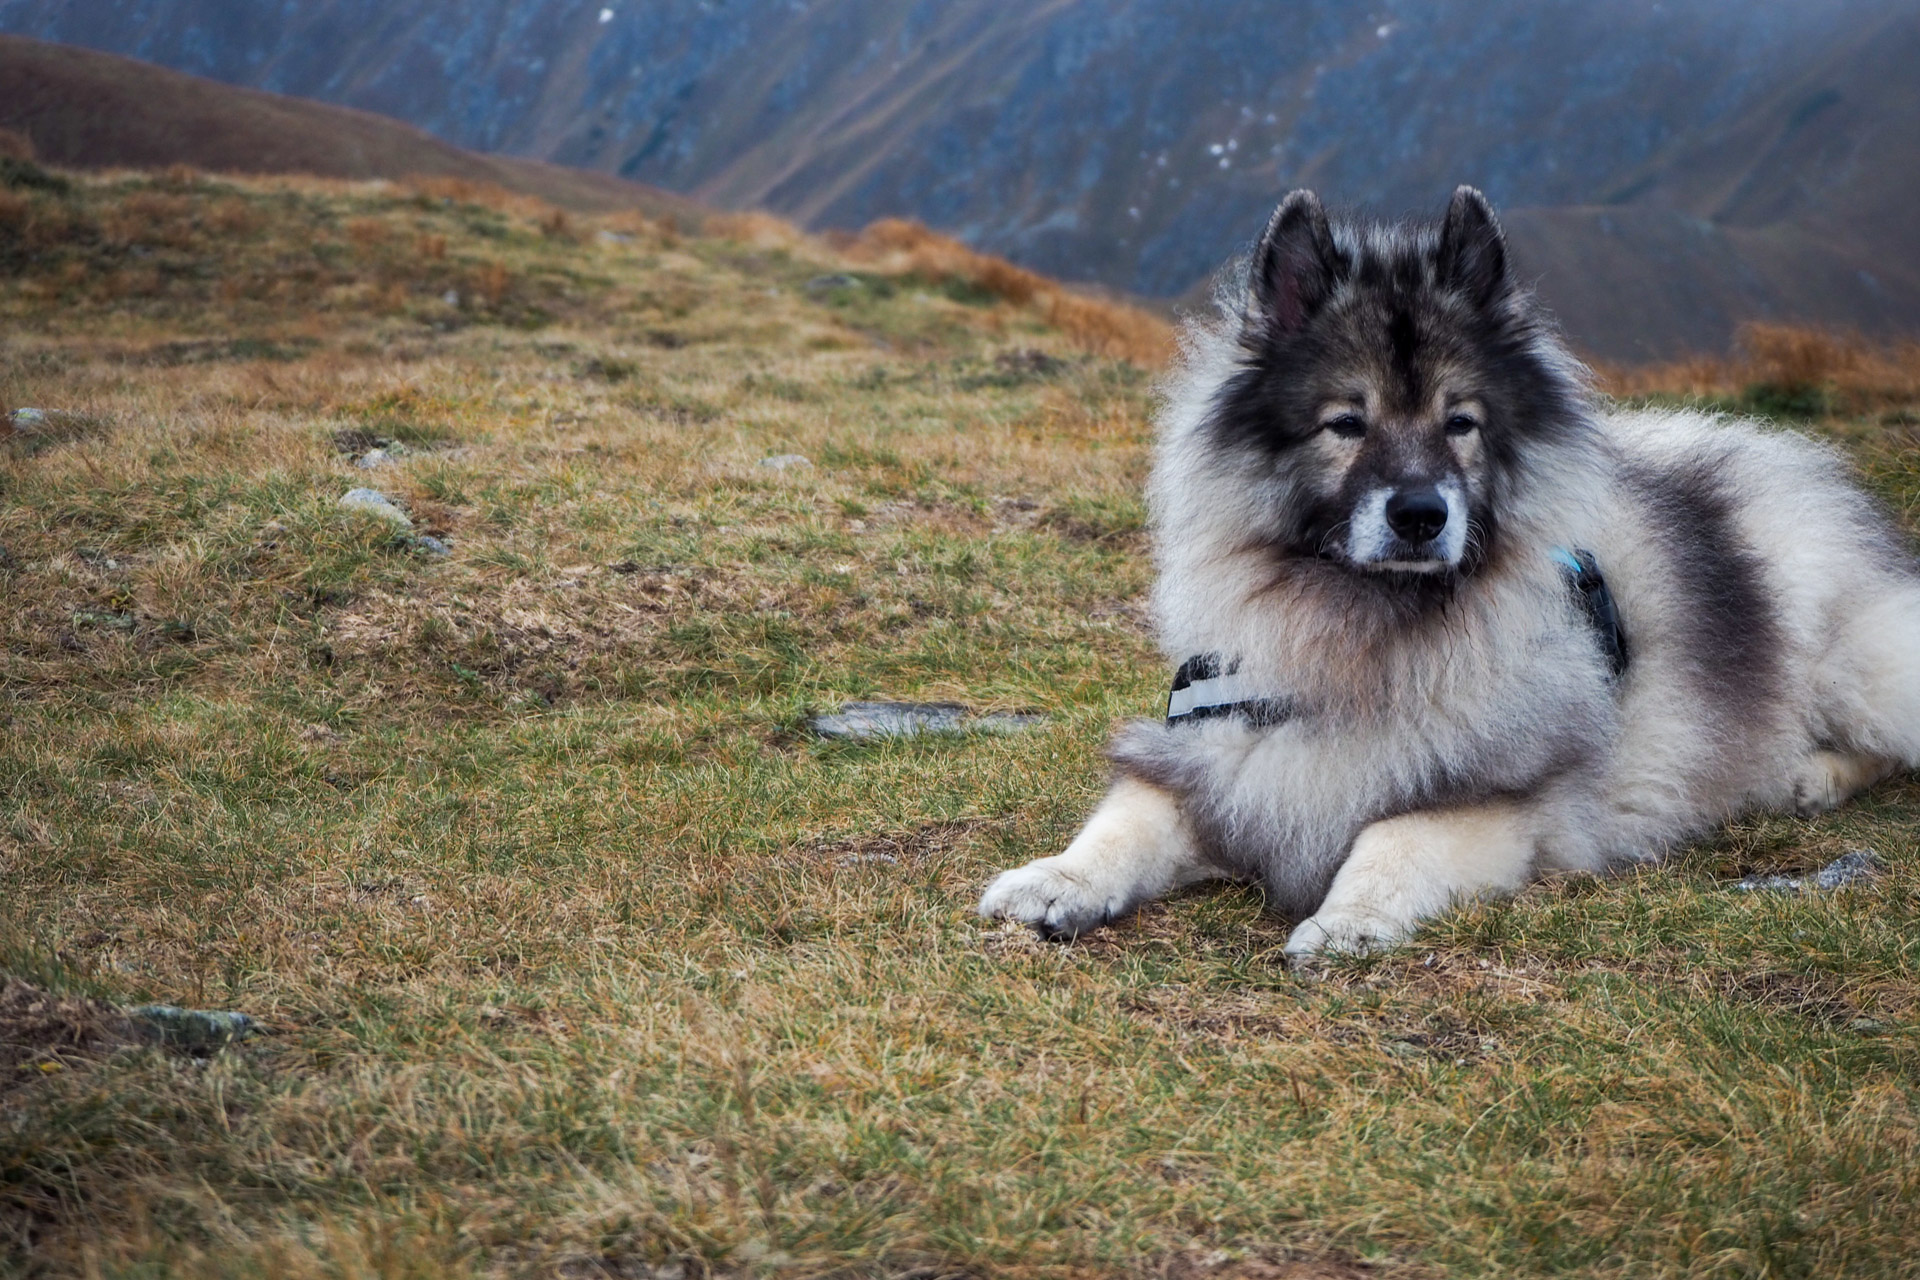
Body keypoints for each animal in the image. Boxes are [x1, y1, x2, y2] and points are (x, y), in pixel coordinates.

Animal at [975, 182, 1920, 959]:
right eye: (1346, 423)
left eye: (1460, 422)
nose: (1421, 514)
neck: (1363, 636)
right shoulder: (1216, 755)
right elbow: (1127, 821)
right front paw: (1055, 879)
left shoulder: (1494, 800)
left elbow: (1393, 839)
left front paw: (1349, 920)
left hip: (1854, 665)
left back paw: (1809, 775)